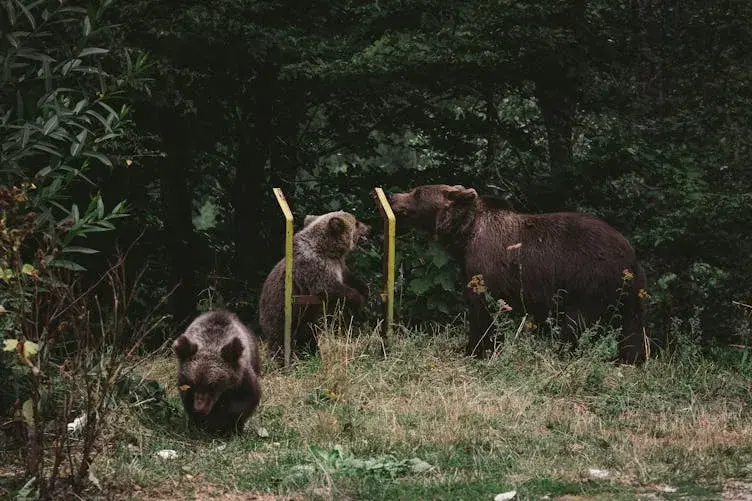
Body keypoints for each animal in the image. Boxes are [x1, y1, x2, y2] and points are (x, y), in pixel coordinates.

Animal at [258, 210, 371, 359]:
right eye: (356, 222)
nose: (369, 227)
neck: (328, 249)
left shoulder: (339, 265)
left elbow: (349, 277)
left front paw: (365, 290)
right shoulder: (314, 267)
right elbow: (328, 288)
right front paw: (358, 300)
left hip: (306, 320)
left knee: (308, 337)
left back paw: (312, 354)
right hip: (280, 314)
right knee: (279, 341)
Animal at [386, 184, 648, 364]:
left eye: (418, 192)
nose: (392, 196)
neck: (465, 235)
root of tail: (629, 252)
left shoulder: (486, 265)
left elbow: (482, 310)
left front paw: (476, 349)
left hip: (588, 280)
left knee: (576, 323)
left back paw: (562, 352)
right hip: (628, 293)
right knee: (632, 328)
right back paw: (631, 360)